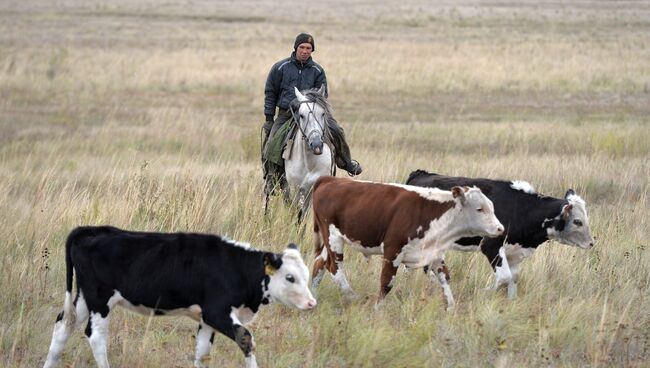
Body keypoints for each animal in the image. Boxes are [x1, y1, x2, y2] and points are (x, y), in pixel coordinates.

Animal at [41, 226, 316, 366]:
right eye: (290, 277)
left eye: (306, 273)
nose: (312, 303)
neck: (234, 266)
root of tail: (92, 230)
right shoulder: (216, 312)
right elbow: (246, 339)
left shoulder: (207, 319)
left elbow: (202, 352)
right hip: (100, 300)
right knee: (96, 337)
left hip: (83, 297)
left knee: (62, 326)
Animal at [264, 85, 334, 220]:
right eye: (301, 115)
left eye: (323, 113)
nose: (316, 145)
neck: (309, 163)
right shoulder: (294, 189)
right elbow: (296, 213)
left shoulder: (312, 189)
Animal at [308, 177, 502, 310]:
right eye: (480, 209)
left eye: (492, 207)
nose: (500, 228)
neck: (430, 212)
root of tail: (330, 179)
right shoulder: (392, 249)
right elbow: (386, 282)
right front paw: (377, 309)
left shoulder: (435, 253)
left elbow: (445, 278)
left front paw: (451, 307)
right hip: (333, 238)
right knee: (334, 268)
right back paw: (352, 296)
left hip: (327, 241)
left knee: (319, 265)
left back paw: (314, 297)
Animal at [404, 170, 592, 300]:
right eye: (577, 221)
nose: (591, 243)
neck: (523, 208)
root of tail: (420, 174)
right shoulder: (491, 246)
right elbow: (504, 277)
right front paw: (485, 291)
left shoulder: (515, 252)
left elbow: (513, 278)